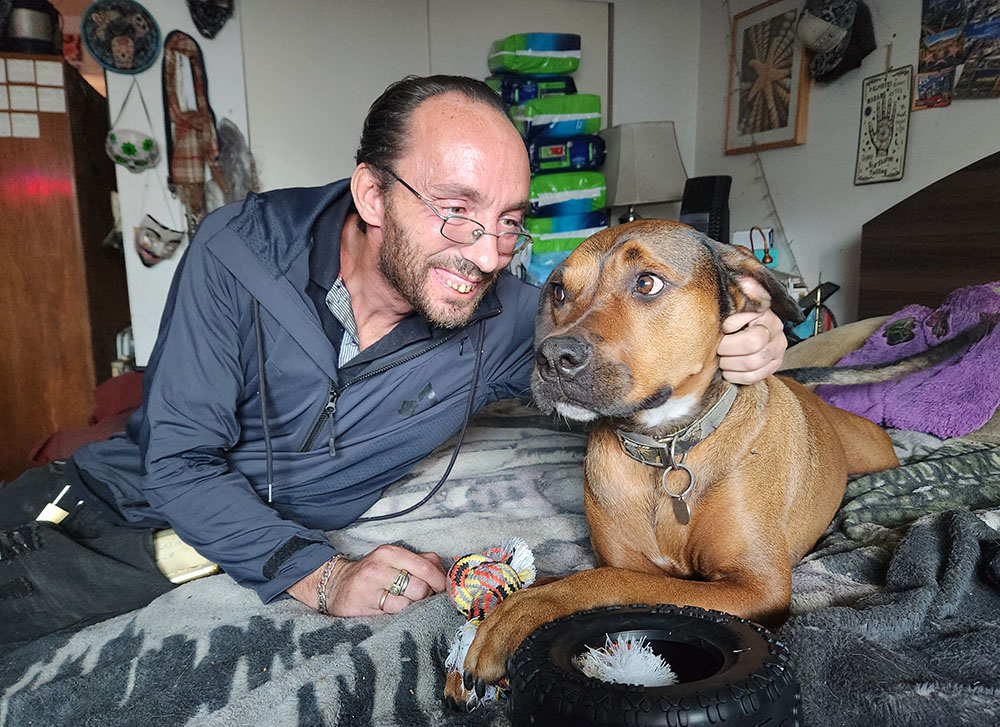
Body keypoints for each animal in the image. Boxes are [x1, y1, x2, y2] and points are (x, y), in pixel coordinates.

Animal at [450, 218, 904, 700]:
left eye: (647, 283)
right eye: (558, 291)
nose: (551, 358)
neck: (664, 447)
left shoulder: (756, 588)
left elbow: (609, 582)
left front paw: (524, 610)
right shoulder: (622, 557)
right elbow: (565, 575)